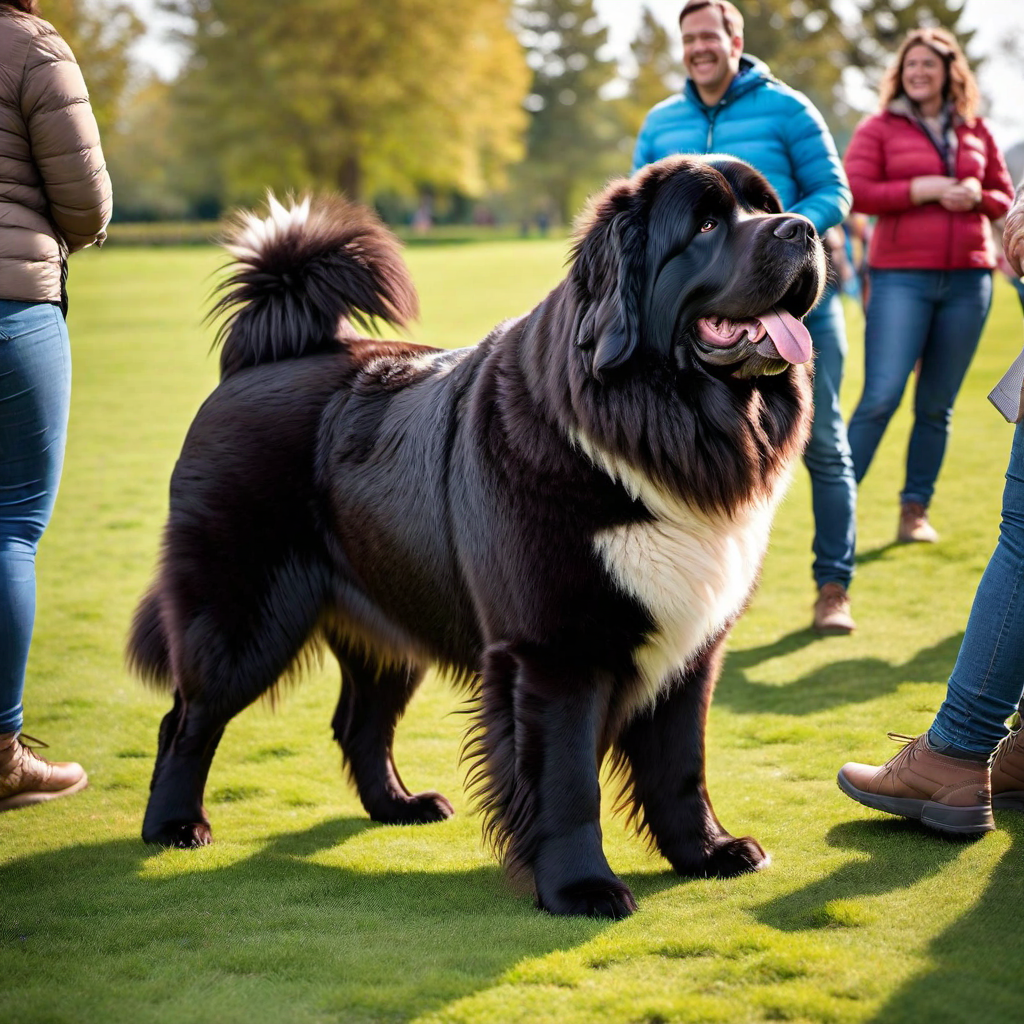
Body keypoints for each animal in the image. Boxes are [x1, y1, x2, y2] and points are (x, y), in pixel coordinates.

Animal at [132, 153, 827, 921]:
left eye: (767, 205)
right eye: (705, 226)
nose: (803, 228)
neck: (658, 430)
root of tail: (258, 361)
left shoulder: (689, 648)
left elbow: (680, 765)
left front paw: (707, 852)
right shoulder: (554, 652)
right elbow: (567, 781)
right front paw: (580, 888)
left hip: (391, 614)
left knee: (359, 721)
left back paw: (398, 806)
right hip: (243, 616)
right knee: (188, 720)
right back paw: (174, 825)